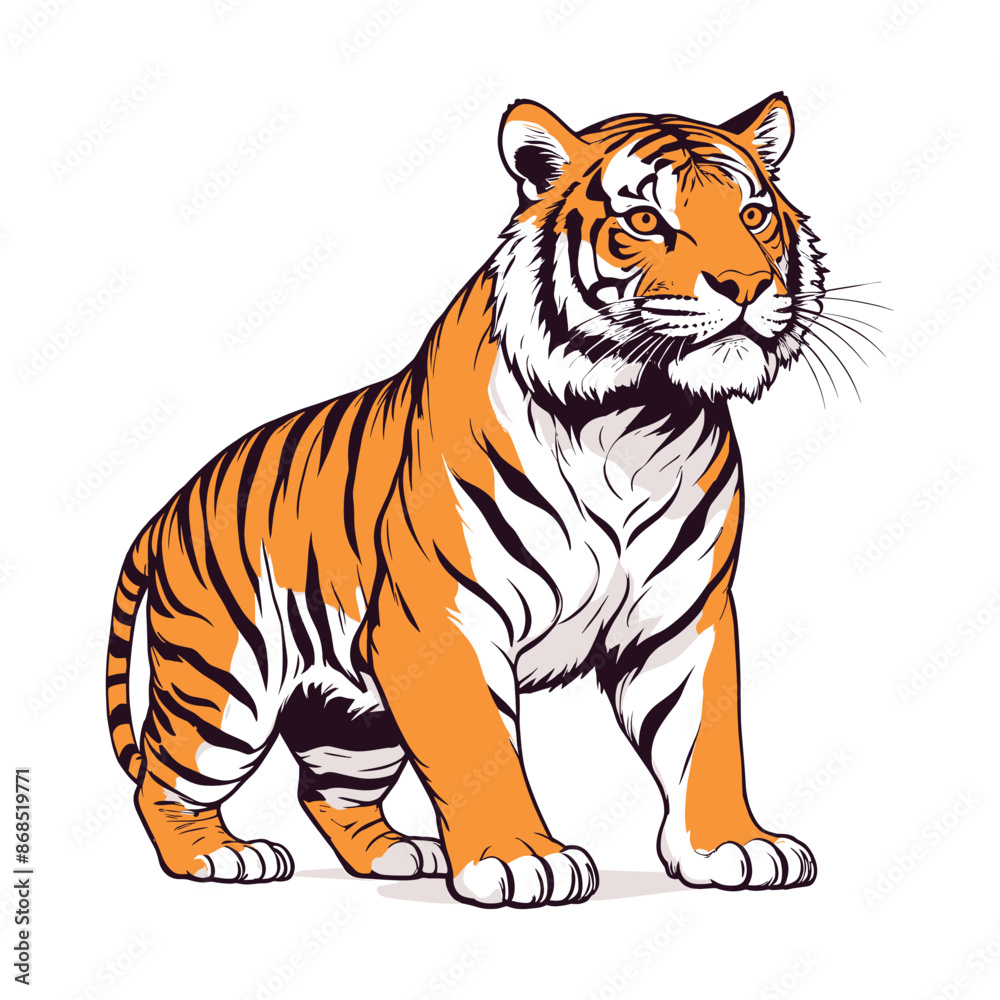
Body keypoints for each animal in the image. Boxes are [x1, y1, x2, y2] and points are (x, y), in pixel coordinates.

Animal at [106, 93, 828, 908]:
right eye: (646, 221)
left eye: (754, 216)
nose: (746, 284)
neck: (634, 420)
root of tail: (169, 505)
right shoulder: (442, 620)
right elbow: (478, 746)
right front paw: (520, 860)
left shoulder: (683, 617)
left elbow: (705, 739)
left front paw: (732, 845)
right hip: (224, 684)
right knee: (163, 779)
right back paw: (218, 855)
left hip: (354, 716)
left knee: (325, 791)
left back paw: (393, 853)